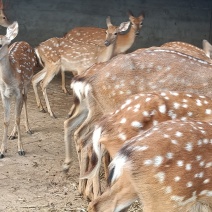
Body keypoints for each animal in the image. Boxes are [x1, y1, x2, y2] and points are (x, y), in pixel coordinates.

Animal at [0, 22, 37, 157]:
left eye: (0, 44)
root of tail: (23, 41)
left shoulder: (18, 92)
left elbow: (17, 118)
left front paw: (20, 149)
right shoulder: (3, 94)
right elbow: (6, 121)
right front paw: (2, 150)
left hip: (28, 82)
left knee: (25, 100)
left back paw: (28, 128)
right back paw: (12, 134)